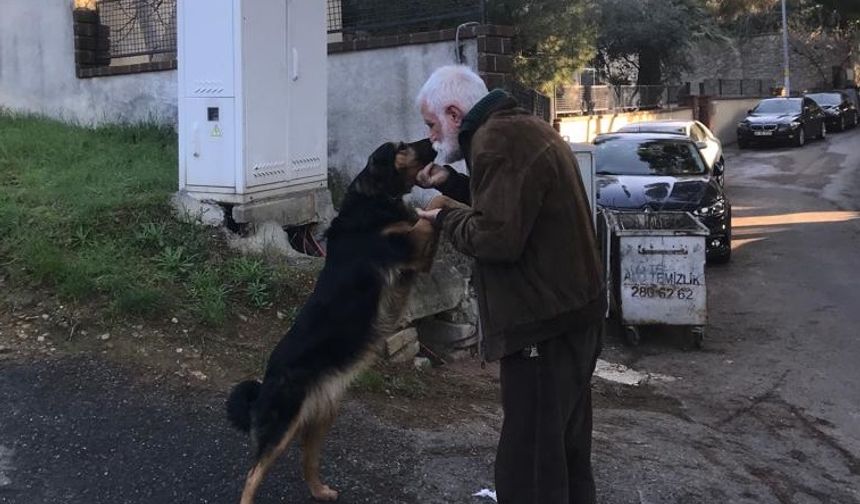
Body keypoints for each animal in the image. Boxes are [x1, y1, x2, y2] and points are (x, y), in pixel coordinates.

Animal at [227, 139, 440, 504]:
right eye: (401, 147)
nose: (431, 141)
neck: (374, 198)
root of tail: (266, 381)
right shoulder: (405, 246)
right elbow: (430, 216)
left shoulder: (419, 260)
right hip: (284, 422)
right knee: (254, 473)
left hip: (321, 417)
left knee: (307, 461)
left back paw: (320, 490)